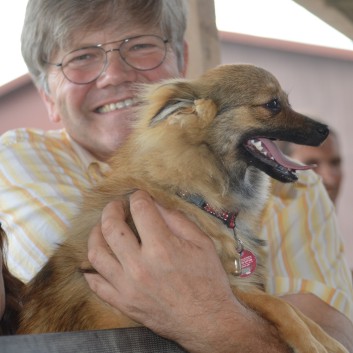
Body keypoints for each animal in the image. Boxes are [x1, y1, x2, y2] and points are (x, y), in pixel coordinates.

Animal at [17, 64, 346, 352]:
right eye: (273, 104)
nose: (325, 130)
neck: (194, 197)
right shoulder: (231, 284)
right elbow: (282, 307)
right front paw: (309, 344)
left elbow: (302, 314)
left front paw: (328, 342)